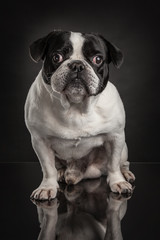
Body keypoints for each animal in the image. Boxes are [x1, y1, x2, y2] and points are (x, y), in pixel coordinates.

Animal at [24, 29, 135, 200]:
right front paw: (47, 187)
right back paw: (61, 173)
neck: (75, 106)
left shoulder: (115, 137)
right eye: (57, 57)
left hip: (124, 148)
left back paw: (126, 174)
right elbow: (48, 168)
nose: (77, 65)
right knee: (57, 167)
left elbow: (113, 164)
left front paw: (118, 182)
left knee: (122, 163)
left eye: (97, 59)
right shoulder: (40, 140)